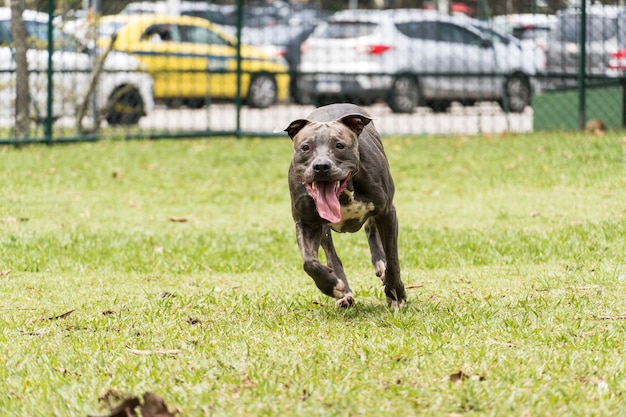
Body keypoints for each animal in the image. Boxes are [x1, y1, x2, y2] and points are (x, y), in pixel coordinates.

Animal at [282, 102, 404, 308]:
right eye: (305, 147)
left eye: (339, 145)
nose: (321, 166)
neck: (344, 194)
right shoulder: (306, 223)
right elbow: (309, 262)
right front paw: (332, 286)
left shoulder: (387, 213)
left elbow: (393, 258)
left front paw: (396, 293)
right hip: (323, 229)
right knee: (331, 254)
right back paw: (343, 291)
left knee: (371, 229)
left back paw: (380, 264)